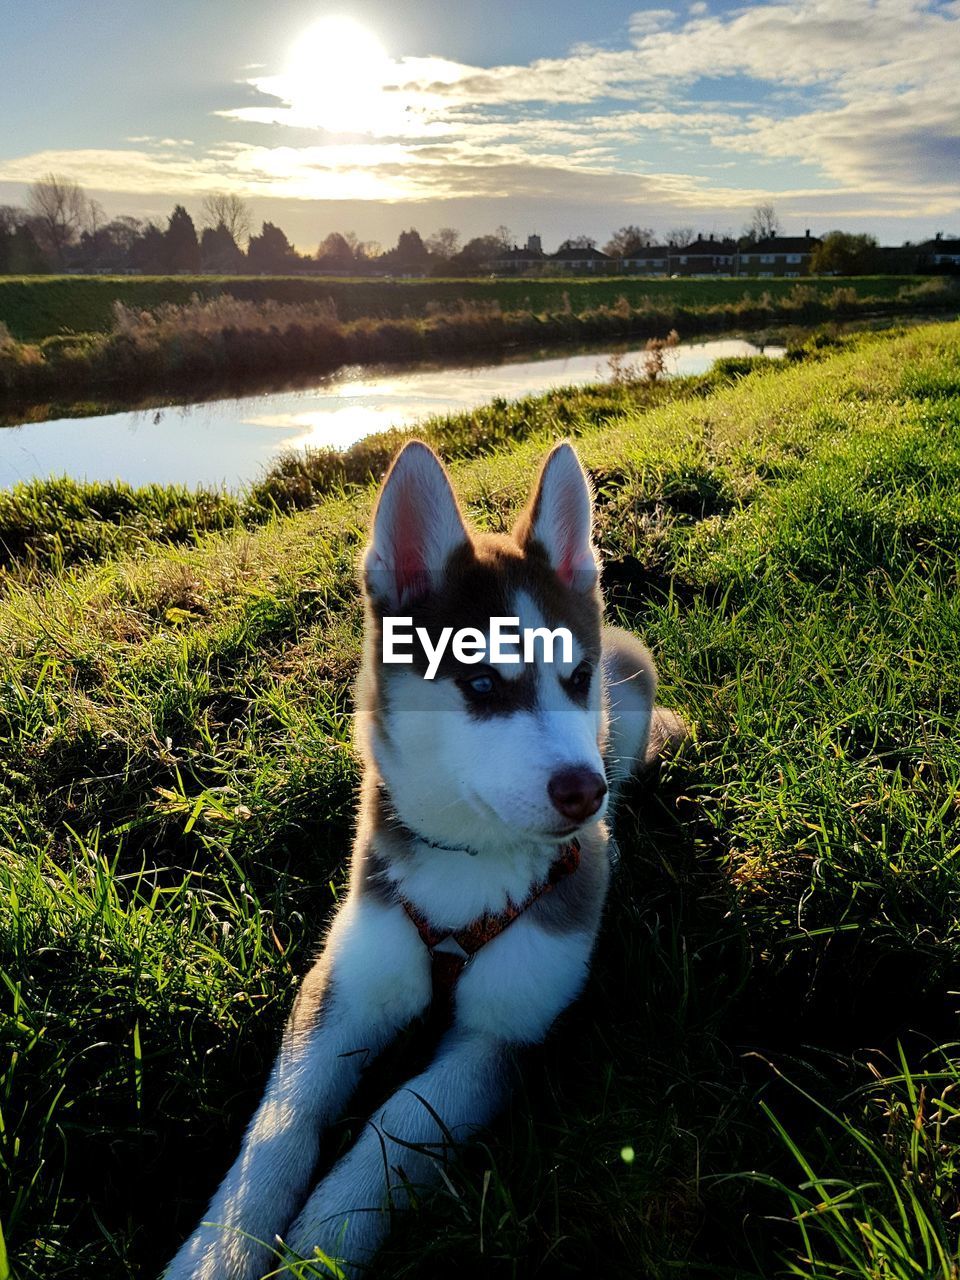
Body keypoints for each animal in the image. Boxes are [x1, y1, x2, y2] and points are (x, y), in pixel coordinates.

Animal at [168, 435, 686, 1274]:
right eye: (480, 683)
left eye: (576, 679)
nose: (588, 794)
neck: (467, 865)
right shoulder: (343, 983)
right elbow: (282, 1121)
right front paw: (220, 1250)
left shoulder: (506, 1030)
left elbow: (400, 1119)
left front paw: (326, 1238)